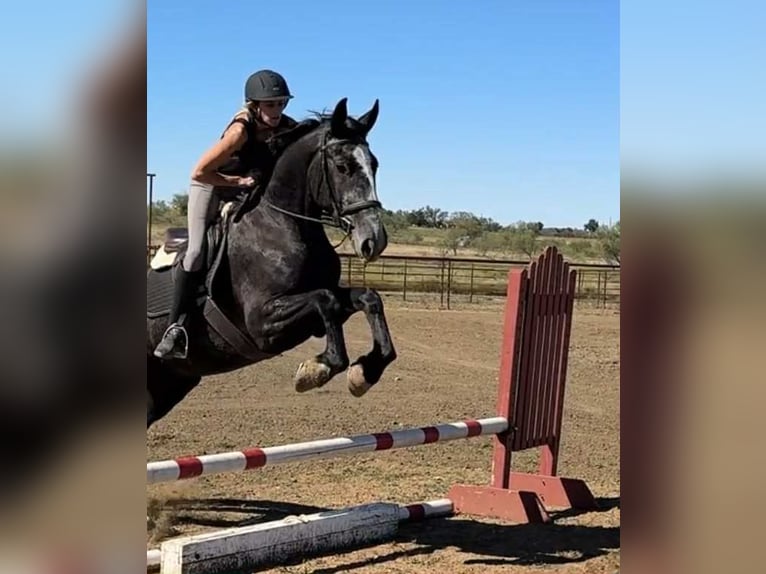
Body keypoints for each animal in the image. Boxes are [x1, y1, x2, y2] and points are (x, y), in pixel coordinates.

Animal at [146, 98, 396, 428]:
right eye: (343, 167)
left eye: (375, 164)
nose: (374, 240)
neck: (283, 224)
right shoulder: (261, 324)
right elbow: (325, 300)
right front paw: (317, 370)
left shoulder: (318, 308)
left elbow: (367, 298)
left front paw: (364, 372)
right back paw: (171, 341)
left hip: (168, 385)